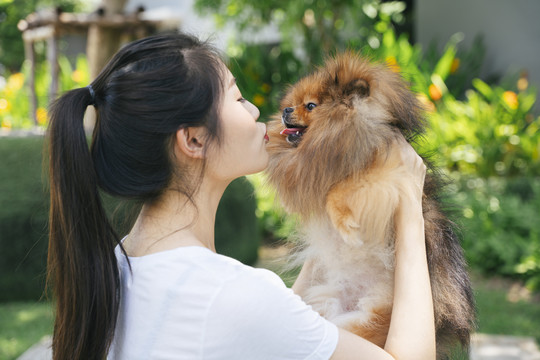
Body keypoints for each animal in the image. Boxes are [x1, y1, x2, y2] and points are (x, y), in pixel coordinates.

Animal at [264, 52, 474, 358]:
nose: (285, 110)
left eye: (311, 105)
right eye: (292, 103)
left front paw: (346, 226)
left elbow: (339, 191)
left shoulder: (390, 177)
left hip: (366, 324)